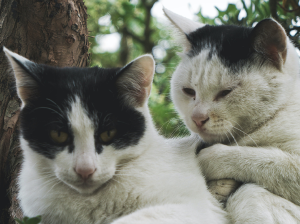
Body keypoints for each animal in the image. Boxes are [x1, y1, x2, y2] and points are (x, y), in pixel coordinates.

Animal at [165, 7, 300, 223]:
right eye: (188, 91)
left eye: (226, 92)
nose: (197, 118)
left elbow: (267, 159)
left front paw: (209, 157)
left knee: (248, 192)